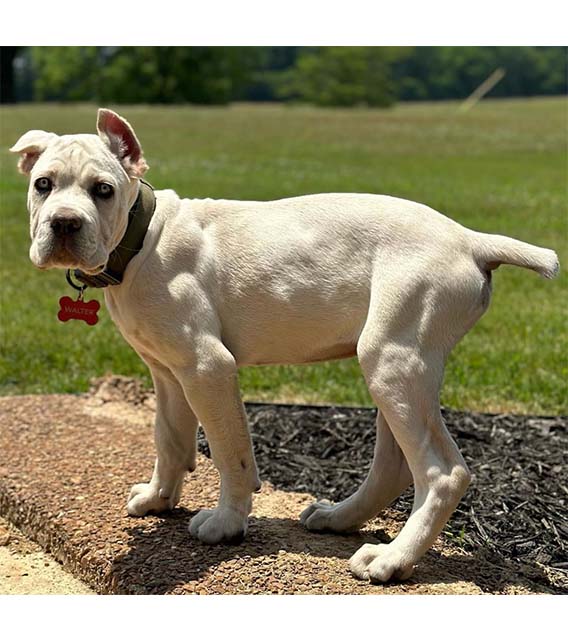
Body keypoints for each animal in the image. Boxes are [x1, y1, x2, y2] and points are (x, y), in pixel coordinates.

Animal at [10, 109, 560, 580]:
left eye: (102, 190)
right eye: (43, 185)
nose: (64, 223)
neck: (142, 240)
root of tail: (469, 239)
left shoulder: (207, 367)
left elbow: (230, 452)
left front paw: (226, 523)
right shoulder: (167, 370)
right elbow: (169, 438)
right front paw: (158, 499)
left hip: (394, 359)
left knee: (442, 473)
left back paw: (392, 560)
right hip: (398, 365)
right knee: (395, 466)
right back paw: (340, 518)